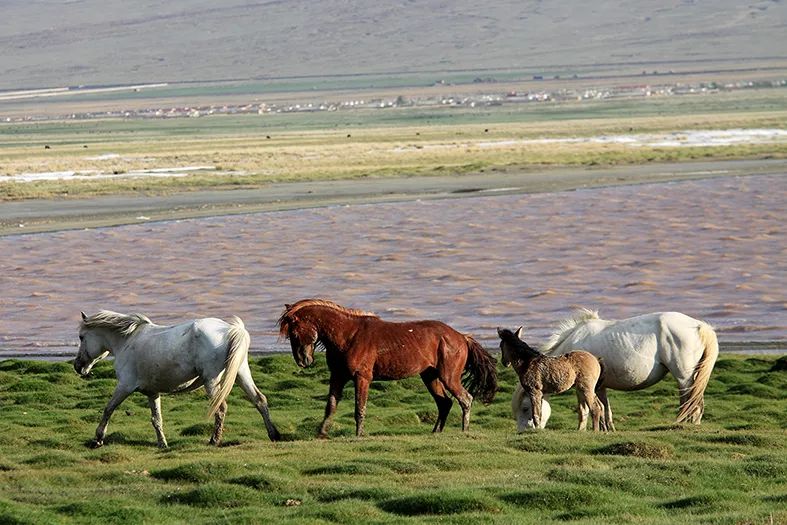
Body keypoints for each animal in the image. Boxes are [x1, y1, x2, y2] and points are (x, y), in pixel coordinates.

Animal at [71, 310, 280, 448]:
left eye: (81, 337)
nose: (78, 366)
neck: (127, 341)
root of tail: (230, 329)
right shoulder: (152, 392)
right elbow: (156, 419)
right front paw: (162, 444)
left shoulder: (125, 386)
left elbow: (108, 409)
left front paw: (98, 438)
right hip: (241, 374)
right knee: (259, 400)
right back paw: (274, 435)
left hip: (212, 381)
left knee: (220, 408)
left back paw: (214, 441)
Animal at [280, 296, 496, 436]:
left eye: (295, 332)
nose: (303, 361)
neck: (348, 335)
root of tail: (462, 337)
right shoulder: (338, 376)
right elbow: (331, 406)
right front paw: (322, 432)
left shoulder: (362, 377)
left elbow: (360, 407)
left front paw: (359, 434)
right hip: (430, 377)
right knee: (445, 403)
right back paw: (436, 432)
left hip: (448, 377)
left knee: (465, 399)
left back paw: (464, 430)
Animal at [516, 310, 716, 428]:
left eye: (525, 408)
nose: (525, 431)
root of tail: (699, 326)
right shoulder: (600, 386)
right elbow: (605, 409)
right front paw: (607, 429)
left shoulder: (583, 386)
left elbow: (584, 410)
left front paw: (582, 430)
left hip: (683, 377)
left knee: (690, 402)